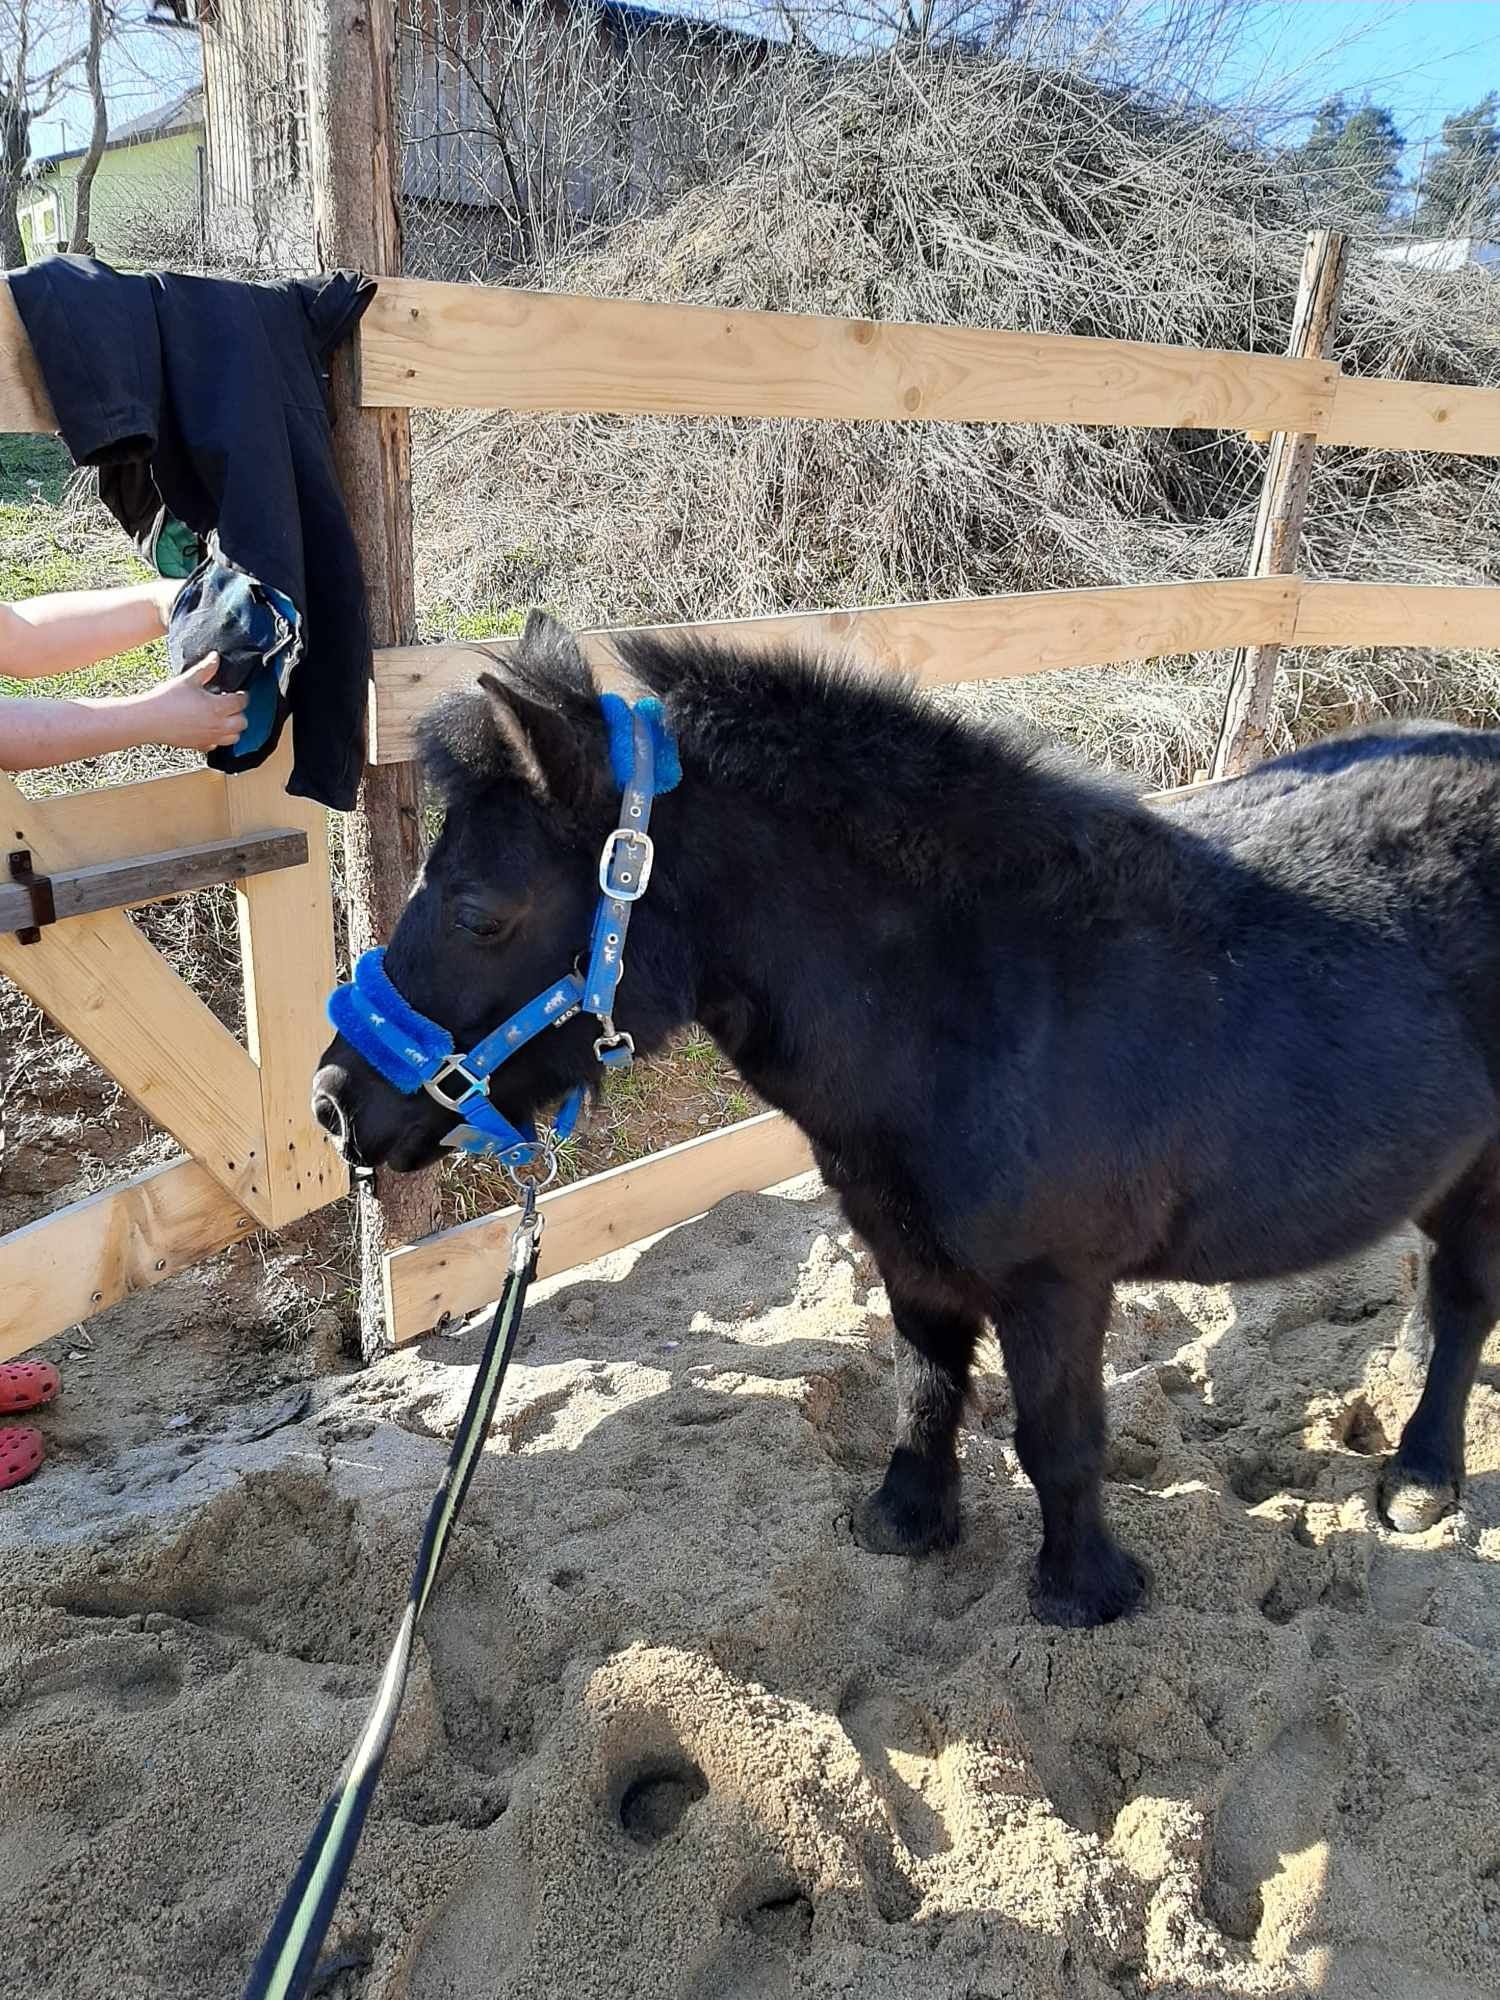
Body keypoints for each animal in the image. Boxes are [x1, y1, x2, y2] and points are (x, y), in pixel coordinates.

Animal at [314, 616, 1500, 1632]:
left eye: (480, 913)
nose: (335, 1102)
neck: (982, 999)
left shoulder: (1057, 1282)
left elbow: (1059, 1439)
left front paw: (1084, 1591)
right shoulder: (907, 1251)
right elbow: (923, 1393)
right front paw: (907, 1522)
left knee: (1463, 1297)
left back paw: (1421, 1474)